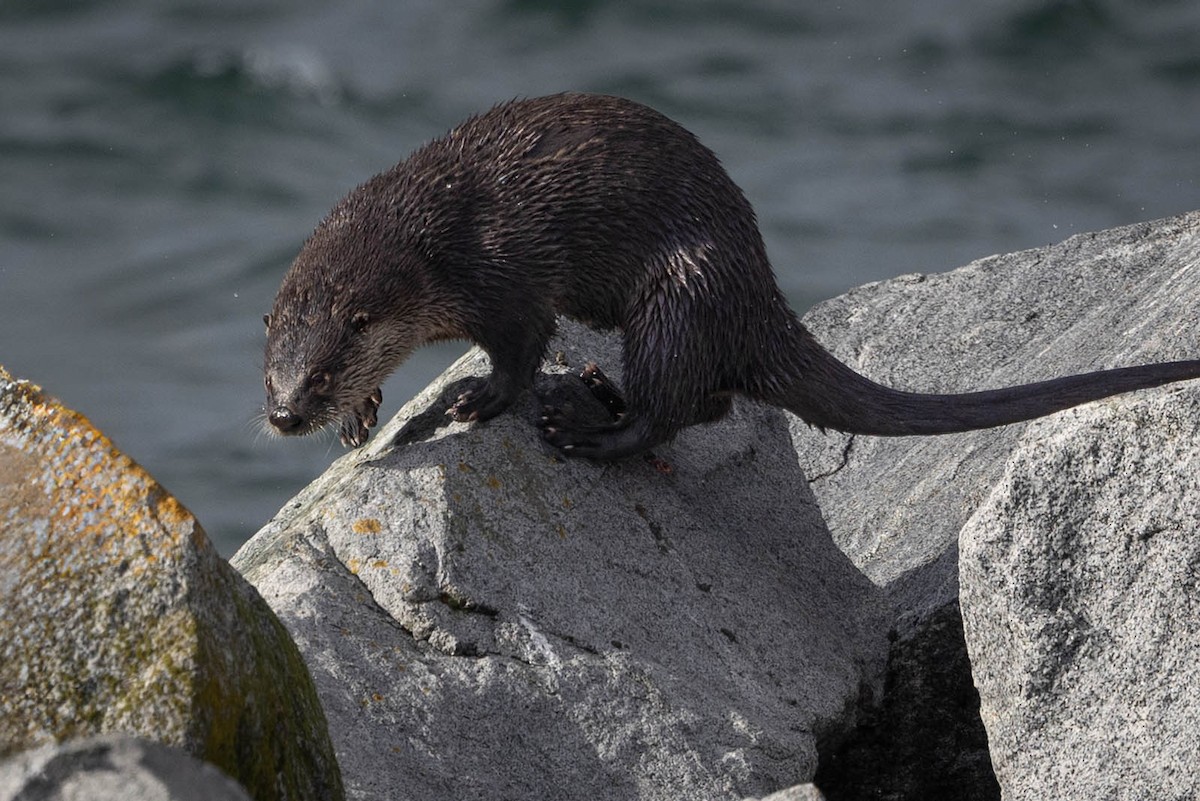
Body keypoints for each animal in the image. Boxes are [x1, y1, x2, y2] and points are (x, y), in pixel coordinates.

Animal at [262, 92, 1200, 459]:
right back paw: (599, 386)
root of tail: (763, 300)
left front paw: (475, 400)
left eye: (322, 370)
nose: (283, 416)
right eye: (272, 375)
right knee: (705, 400)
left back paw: (587, 426)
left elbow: (521, 352)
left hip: (680, 292)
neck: (430, 237)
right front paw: (363, 420)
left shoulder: (502, 276)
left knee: (669, 412)